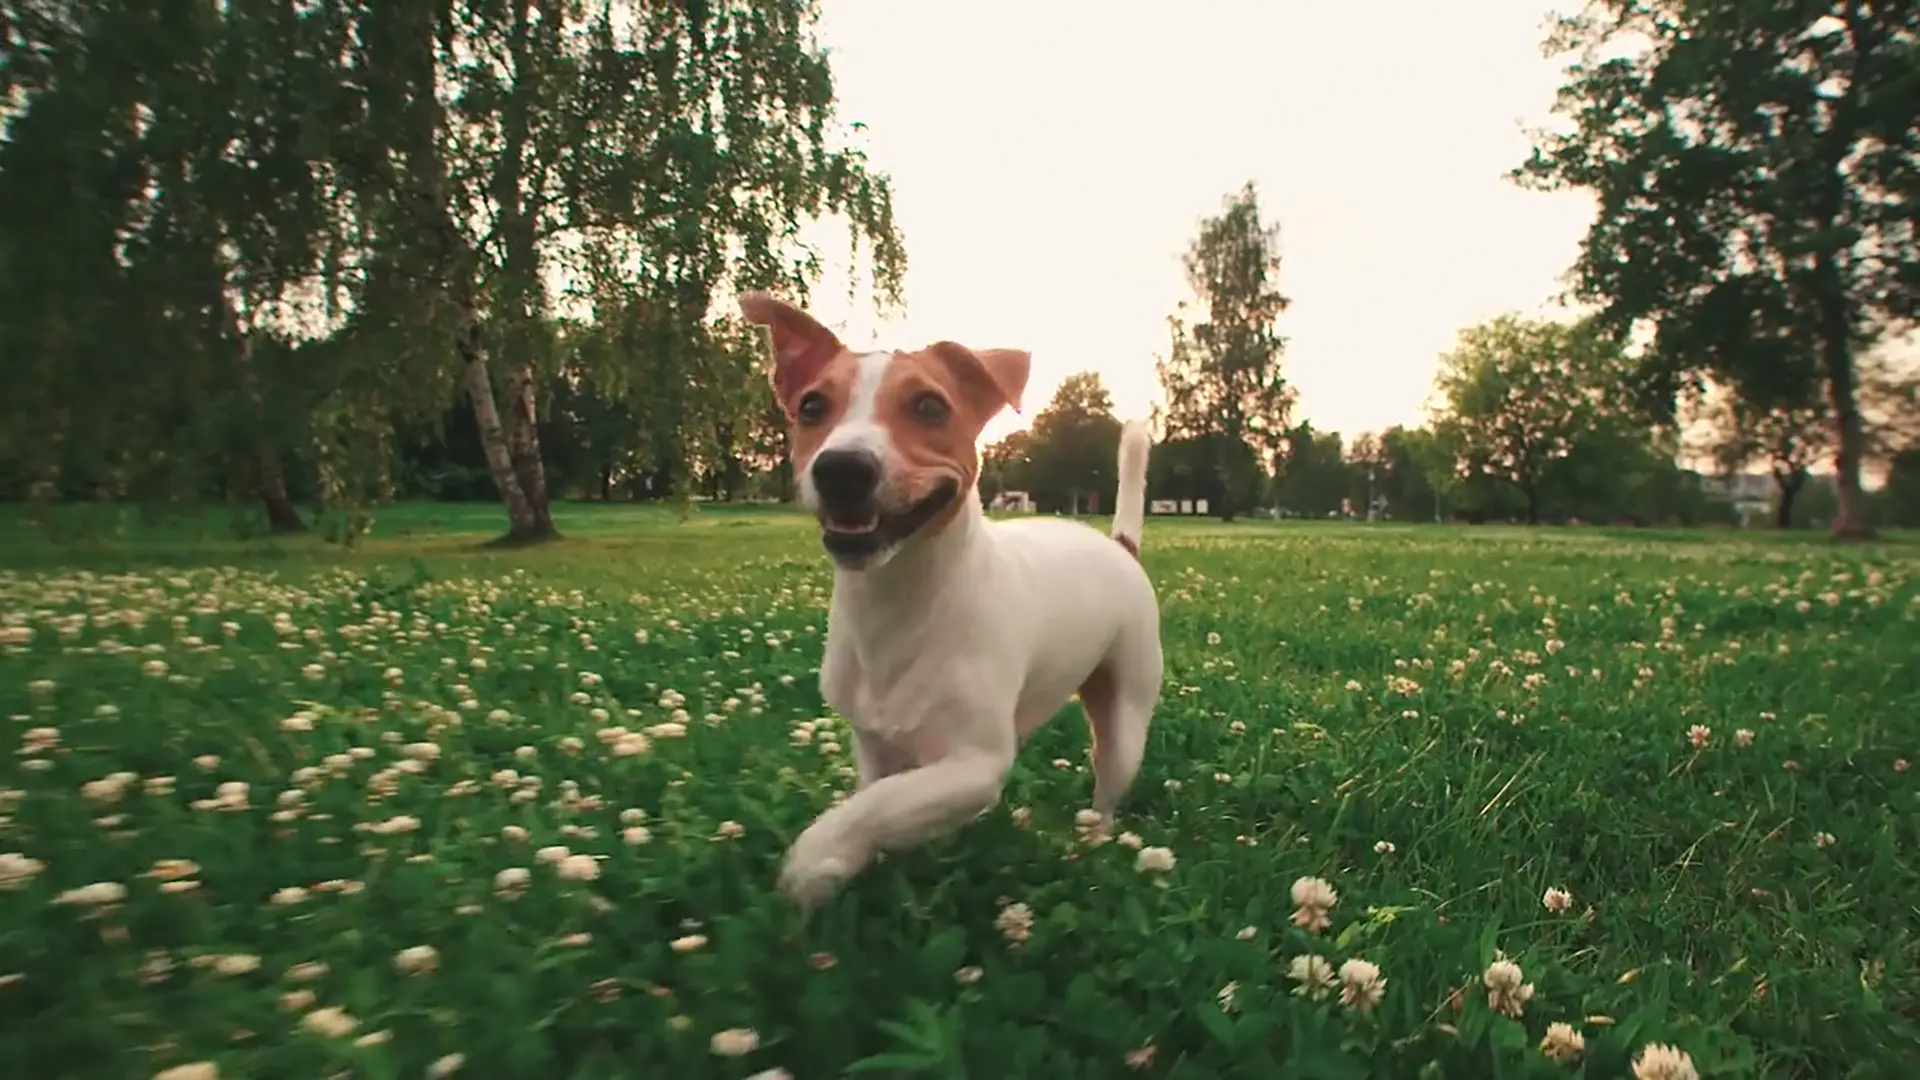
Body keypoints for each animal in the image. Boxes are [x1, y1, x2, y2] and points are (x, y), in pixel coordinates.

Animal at [733, 290, 1159, 903]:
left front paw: (817, 860)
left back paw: (1093, 845)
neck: (902, 600)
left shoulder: (977, 765)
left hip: (1125, 718)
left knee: (1107, 790)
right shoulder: (876, 746)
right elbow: (878, 798)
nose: (842, 468)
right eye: (812, 407)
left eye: (930, 407)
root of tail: (1118, 545)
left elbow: (875, 808)